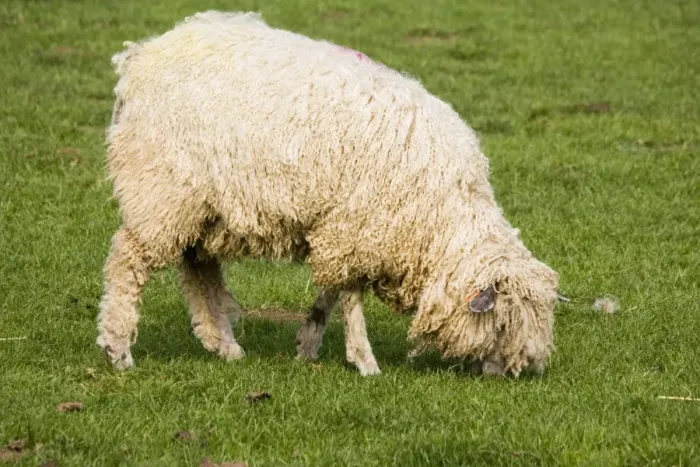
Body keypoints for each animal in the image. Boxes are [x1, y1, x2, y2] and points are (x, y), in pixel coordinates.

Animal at [97, 10, 560, 377]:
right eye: (503, 322)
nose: (509, 374)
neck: (439, 219)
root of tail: (140, 56)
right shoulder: (354, 227)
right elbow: (351, 296)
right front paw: (365, 361)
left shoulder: (342, 229)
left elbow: (332, 291)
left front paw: (309, 343)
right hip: (161, 189)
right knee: (128, 262)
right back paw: (119, 349)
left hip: (205, 207)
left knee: (199, 270)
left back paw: (224, 345)